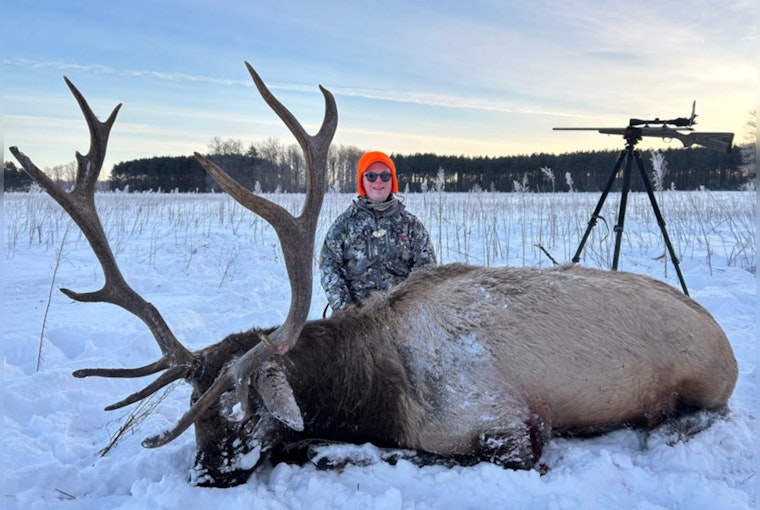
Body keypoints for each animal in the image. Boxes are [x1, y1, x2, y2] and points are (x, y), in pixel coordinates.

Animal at [10, 62, 738, 488]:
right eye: (193, 404)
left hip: (702, 388)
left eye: (243, 401)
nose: (209, 473)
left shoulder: (506, 427)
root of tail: (728, 346)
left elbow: (364, 451)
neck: (371, 388)